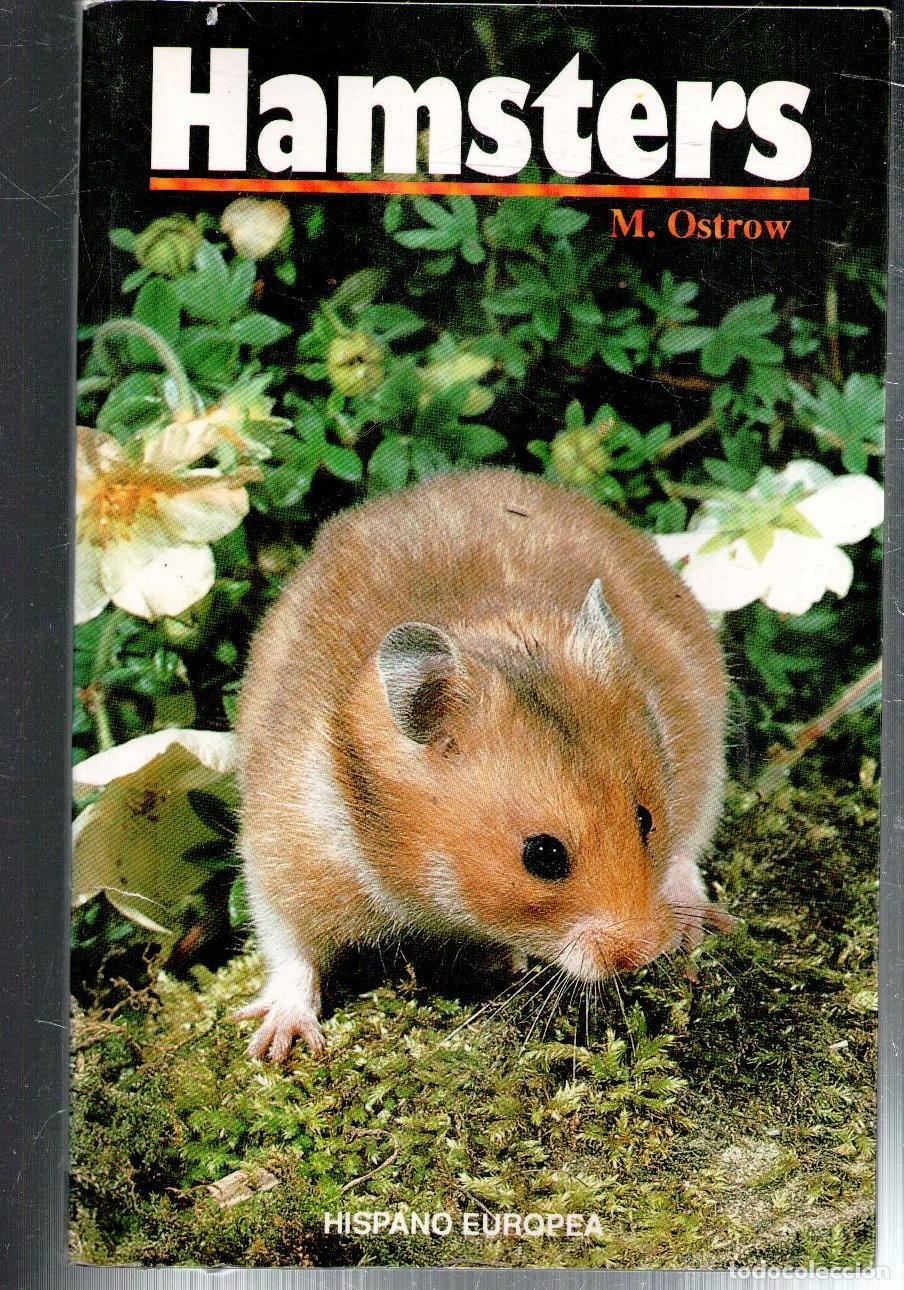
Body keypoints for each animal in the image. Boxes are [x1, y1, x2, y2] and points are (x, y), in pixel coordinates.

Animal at [235, 467, 731, 1061]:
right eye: (542, 855)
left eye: (645, 819)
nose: (644, 953)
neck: (422, 876)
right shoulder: (286, 850)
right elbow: (290, 946)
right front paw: (275, 1047)